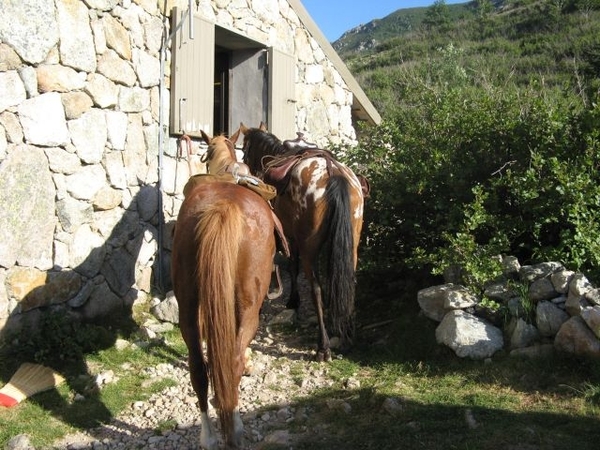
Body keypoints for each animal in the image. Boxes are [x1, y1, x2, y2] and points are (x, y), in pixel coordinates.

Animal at [172, 161, 278, 446]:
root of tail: (223, 207)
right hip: (249, 309)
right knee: (233, 361)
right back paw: (235, 427)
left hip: (187, 307)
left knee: (198, 367)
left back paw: (208, 437)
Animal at [237, 123, 368, 362]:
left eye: (245, 149)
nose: (247, 168)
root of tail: (333, 174)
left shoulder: (291, 238)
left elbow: (293, 267)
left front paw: (293, 301)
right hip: (352, 243)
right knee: (349, 280)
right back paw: (346, 333)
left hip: (310, 248)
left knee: (315, 287)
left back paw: (323, 346)